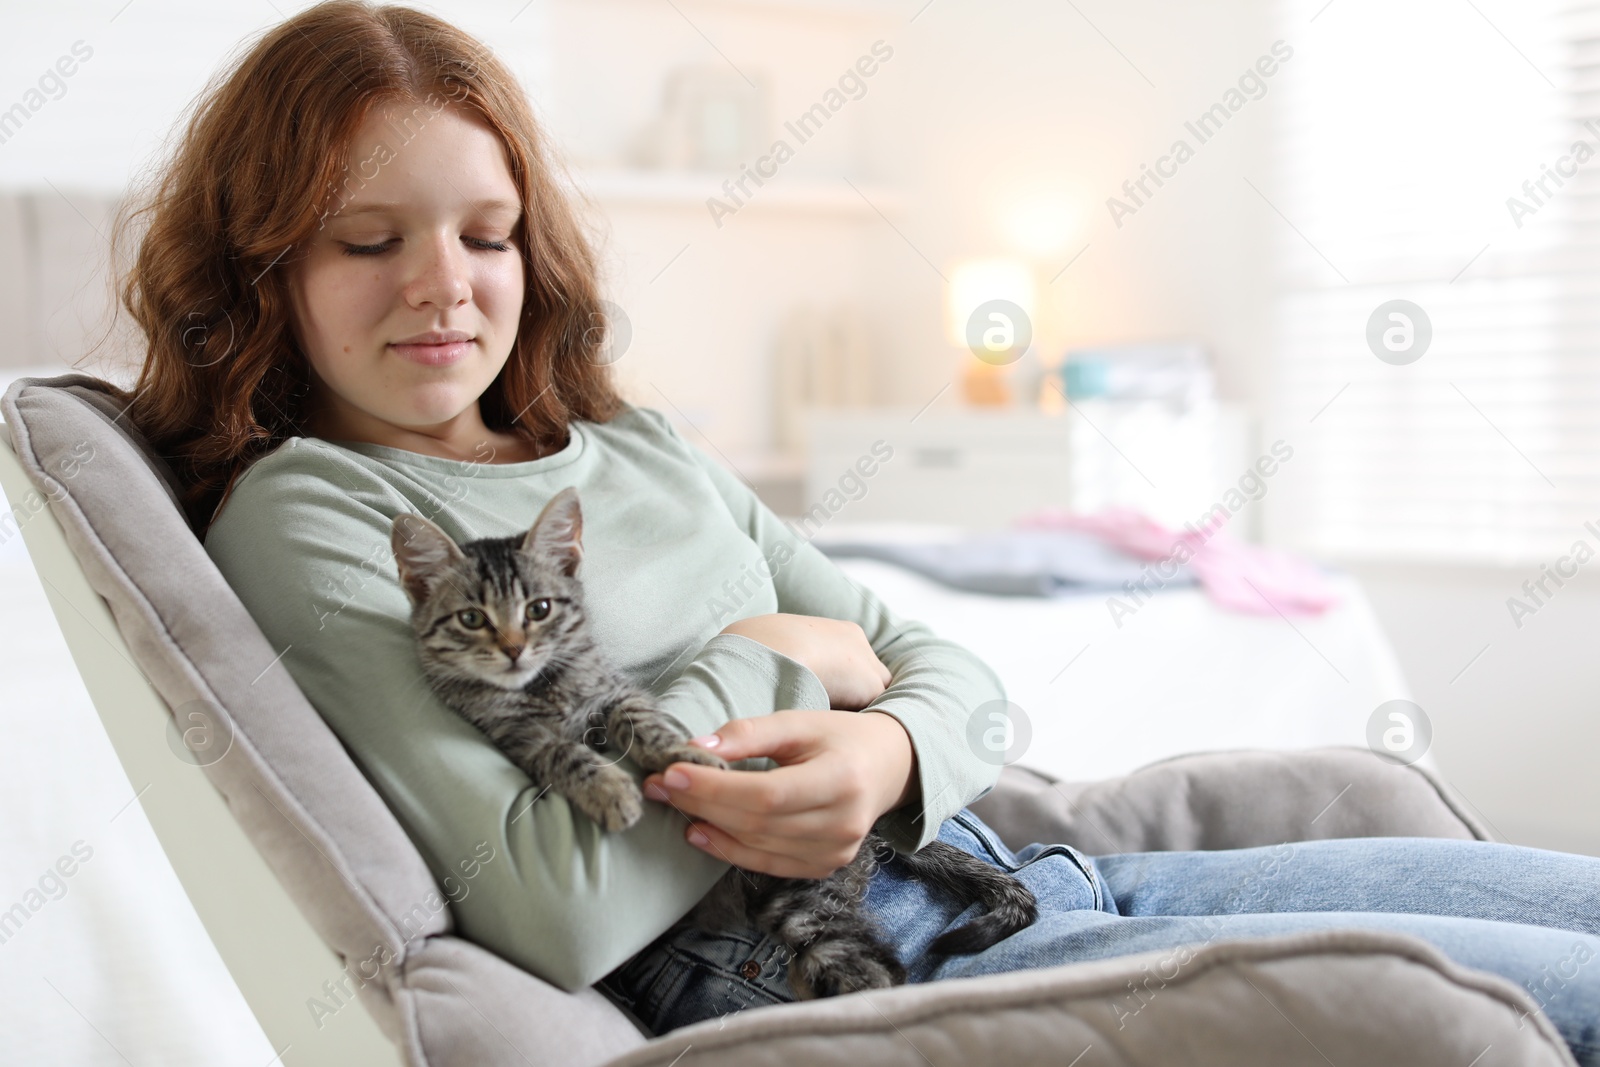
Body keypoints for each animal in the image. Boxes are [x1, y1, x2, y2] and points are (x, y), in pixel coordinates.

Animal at [387, 489, 1036, 998]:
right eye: (472, 618)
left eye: (539, 609)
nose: (514, 648)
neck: (546, 686)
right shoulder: (514, 735)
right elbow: (563, 753)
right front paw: (611, 791)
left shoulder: (616, 694)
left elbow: (647, 722)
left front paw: (689, 754)